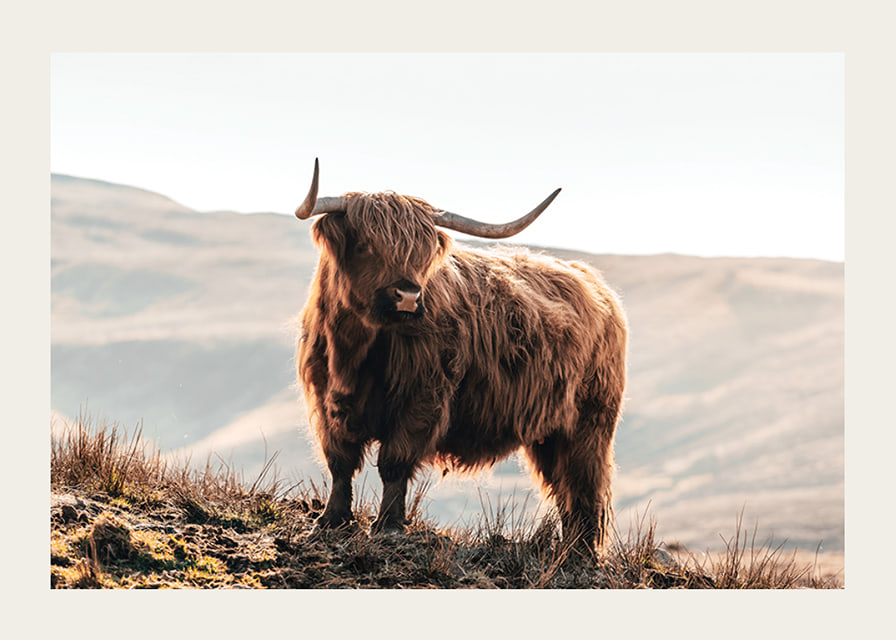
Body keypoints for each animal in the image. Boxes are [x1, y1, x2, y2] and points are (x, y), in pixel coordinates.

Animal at [295, 159, 627, 554]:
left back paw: (581, 553)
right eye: (365, 246)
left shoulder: (423, 398)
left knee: (583, 484)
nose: (408, 296)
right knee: (564, 487)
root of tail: (594, 284)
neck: (355, 351)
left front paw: (389, 526)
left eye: (422, 254)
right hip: (550, 433)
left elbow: (394, 462)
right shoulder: (326, 398)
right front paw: (331, 521)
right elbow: (340, 461)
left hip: (589, 423)